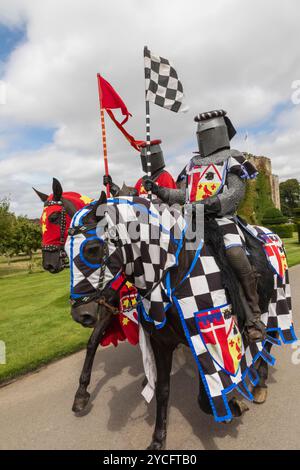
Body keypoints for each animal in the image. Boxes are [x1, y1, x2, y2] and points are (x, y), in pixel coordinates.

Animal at [66, 193, 296, 450]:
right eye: (65, 251)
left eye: (92, 248)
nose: (81, 313)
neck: (172, 273)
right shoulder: (162, 343)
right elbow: (163, 390)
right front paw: (158, 439)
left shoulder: (207, 340)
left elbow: (205, 396)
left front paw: (233, 406)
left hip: (277, 303)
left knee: (269, 338)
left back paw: (260, 385)